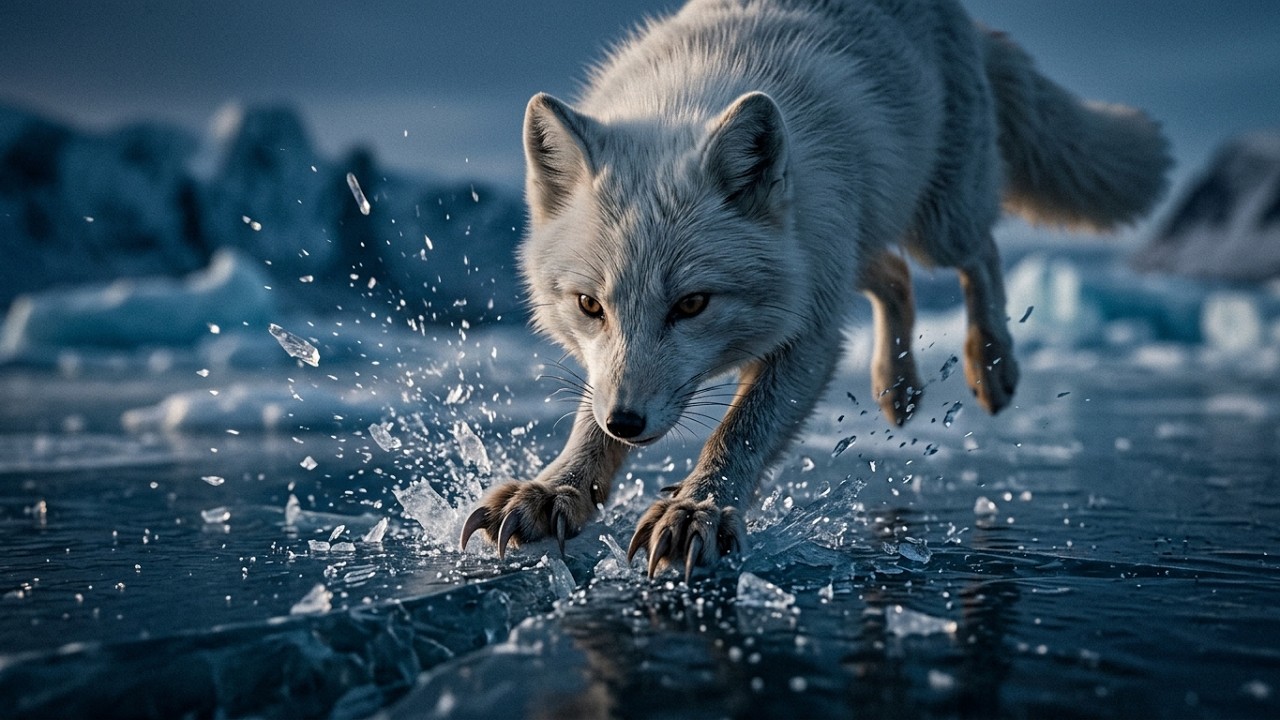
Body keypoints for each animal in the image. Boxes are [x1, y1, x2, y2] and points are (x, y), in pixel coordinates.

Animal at [459, 0, 1170, 580]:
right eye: (589, 306)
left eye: (692, 304)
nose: (627, 422)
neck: (686, 99)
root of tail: (962, 19)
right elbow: (587, 420)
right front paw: (555, 489)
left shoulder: (811, 332)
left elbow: (739, 433)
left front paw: (696, 509)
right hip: (856, 243)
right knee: (895, 277)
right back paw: (896, 386)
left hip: (936, 223)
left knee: (981, 252)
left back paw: (990, 363)